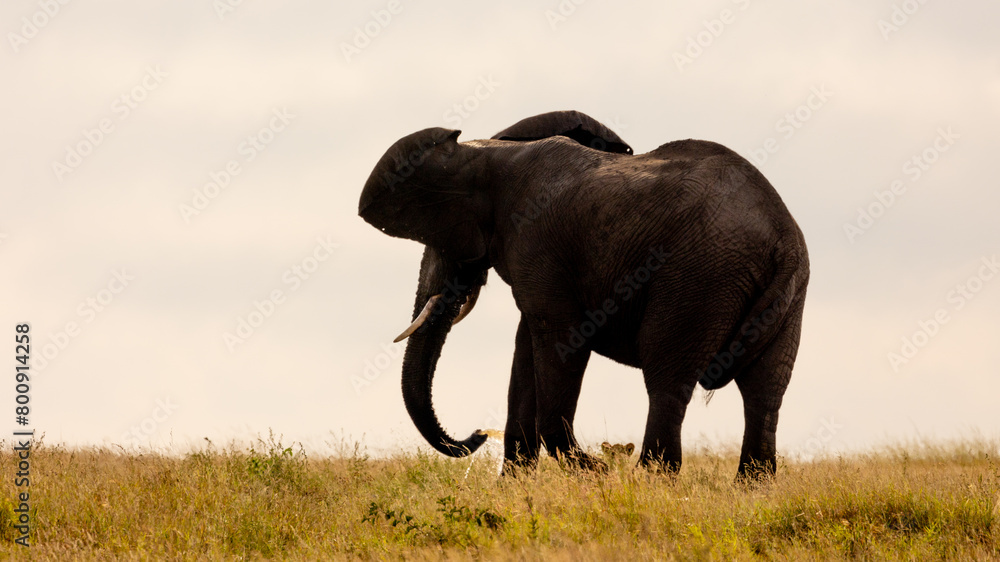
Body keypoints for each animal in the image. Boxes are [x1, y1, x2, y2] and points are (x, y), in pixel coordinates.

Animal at [358, 110, 809, 479]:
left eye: (440, 243)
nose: (478, 434)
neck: (486, 152)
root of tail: (782, 238)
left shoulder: (537, 243)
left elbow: (560, 342)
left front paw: (596, 473)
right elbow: (526, 353)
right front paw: (516, 488)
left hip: (698, 278)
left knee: (667, 381)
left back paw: (646, 481)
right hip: (786, 294)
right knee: (766, 392)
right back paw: (750, 488)